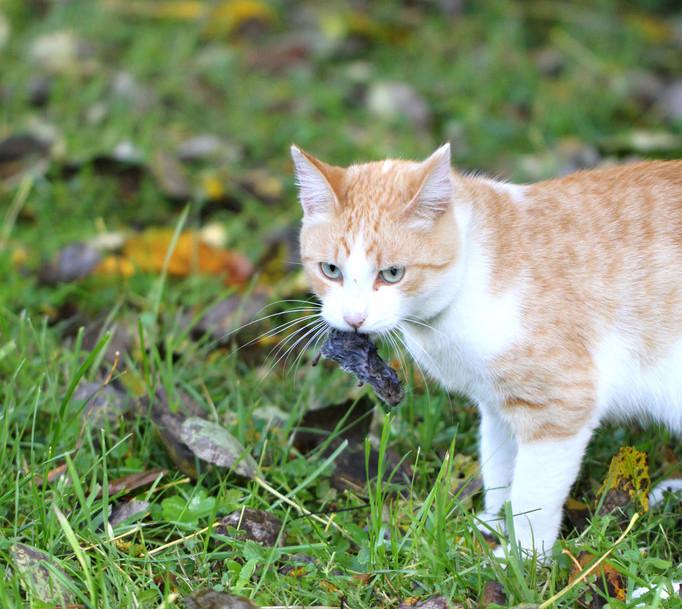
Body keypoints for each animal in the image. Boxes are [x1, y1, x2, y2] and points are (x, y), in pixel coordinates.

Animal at [290, 141, 680, 556]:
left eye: (392, 274)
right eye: (331, 270)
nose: (354, 318)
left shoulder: (561, 405)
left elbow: (532, 495)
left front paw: (521, 557)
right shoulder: (496, 405)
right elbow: (500, 468)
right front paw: (492, 523)